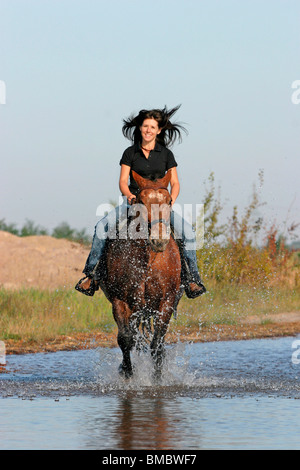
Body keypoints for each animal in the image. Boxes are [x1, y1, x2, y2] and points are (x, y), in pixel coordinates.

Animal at [99, 170, 183, 378]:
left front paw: (157, 377)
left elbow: (157, 343)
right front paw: (127, 372)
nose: (159, 240)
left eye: (169, 200)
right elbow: (125, 339)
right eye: (142, 202)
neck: (146, 260)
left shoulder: (166, 301)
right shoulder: (120, 301)